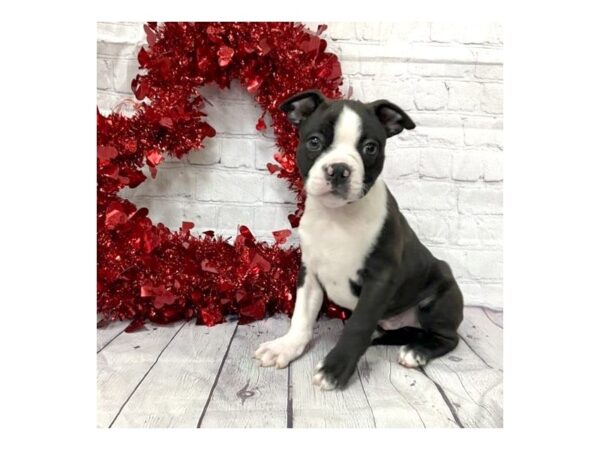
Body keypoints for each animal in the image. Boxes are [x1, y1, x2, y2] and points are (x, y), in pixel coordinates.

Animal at [253, 91, 464, 390]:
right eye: (314, 141)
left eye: (370, 148)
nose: (339, 170)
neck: (337, 217)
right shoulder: (310, 272)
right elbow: (302, 316)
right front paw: (286, 346)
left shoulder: (379, 280)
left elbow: (357, 326)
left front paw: (335, 368)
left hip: (440, 298)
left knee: (448, 337)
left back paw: (417, 351)